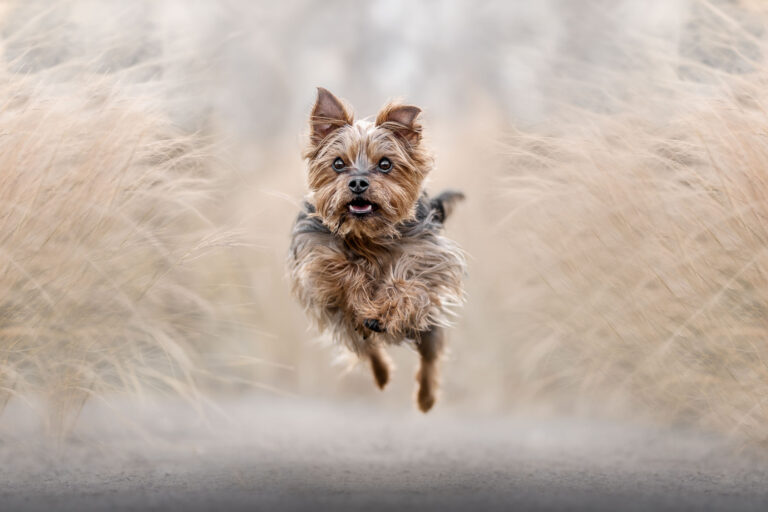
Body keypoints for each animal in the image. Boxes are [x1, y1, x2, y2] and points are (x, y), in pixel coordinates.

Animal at [288, 86, 464, 410]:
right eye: (338, 163)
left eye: (385, 164)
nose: (358, 182)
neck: (367, 235)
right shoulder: (316, 260)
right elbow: (340, 268)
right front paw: (361, 289)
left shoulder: (426, 260)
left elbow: (407, 285)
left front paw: (382, 311)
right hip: (347, 330)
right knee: (367, 349)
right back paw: (382, 375)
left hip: (427, 328)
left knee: (429, 356)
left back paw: (426, 398)